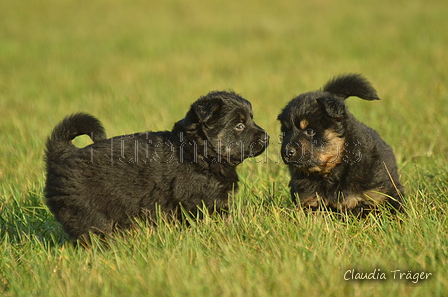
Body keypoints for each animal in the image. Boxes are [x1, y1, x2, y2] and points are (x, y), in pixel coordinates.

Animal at [44, 91, 270, 240]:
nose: (266, 137)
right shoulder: (202, 200)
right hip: (88, 213)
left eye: (252, 119)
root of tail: (62, 154)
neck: (198, 150)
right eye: (239, 125)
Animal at [278, 73, 404, 214]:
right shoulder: (309, 201)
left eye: (310, 131)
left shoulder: (383, 192)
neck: (332, 170)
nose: (287, 152)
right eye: (285, 132)